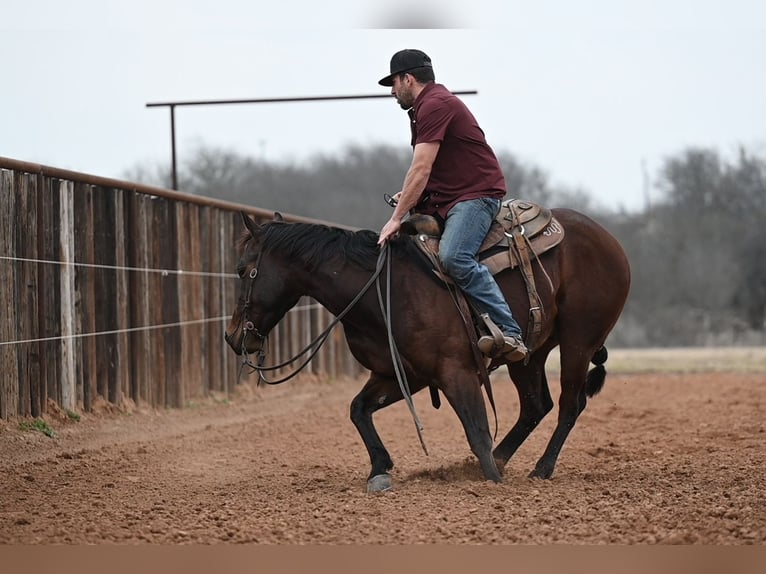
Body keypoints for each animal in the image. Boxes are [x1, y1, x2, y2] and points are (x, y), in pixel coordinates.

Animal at [225, 208, 630, 492]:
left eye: (243, 269)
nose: (232, 337)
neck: (381, 290)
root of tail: (610, 242)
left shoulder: (456, 371)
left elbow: (477, 431)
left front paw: (493, 484)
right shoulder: (402, 373)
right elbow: (358, 410)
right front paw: (380, 470)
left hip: (579, 340)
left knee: (569, 404)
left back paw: (540, 469)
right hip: (532, 352)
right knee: (536, 405)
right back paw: (498, 461)